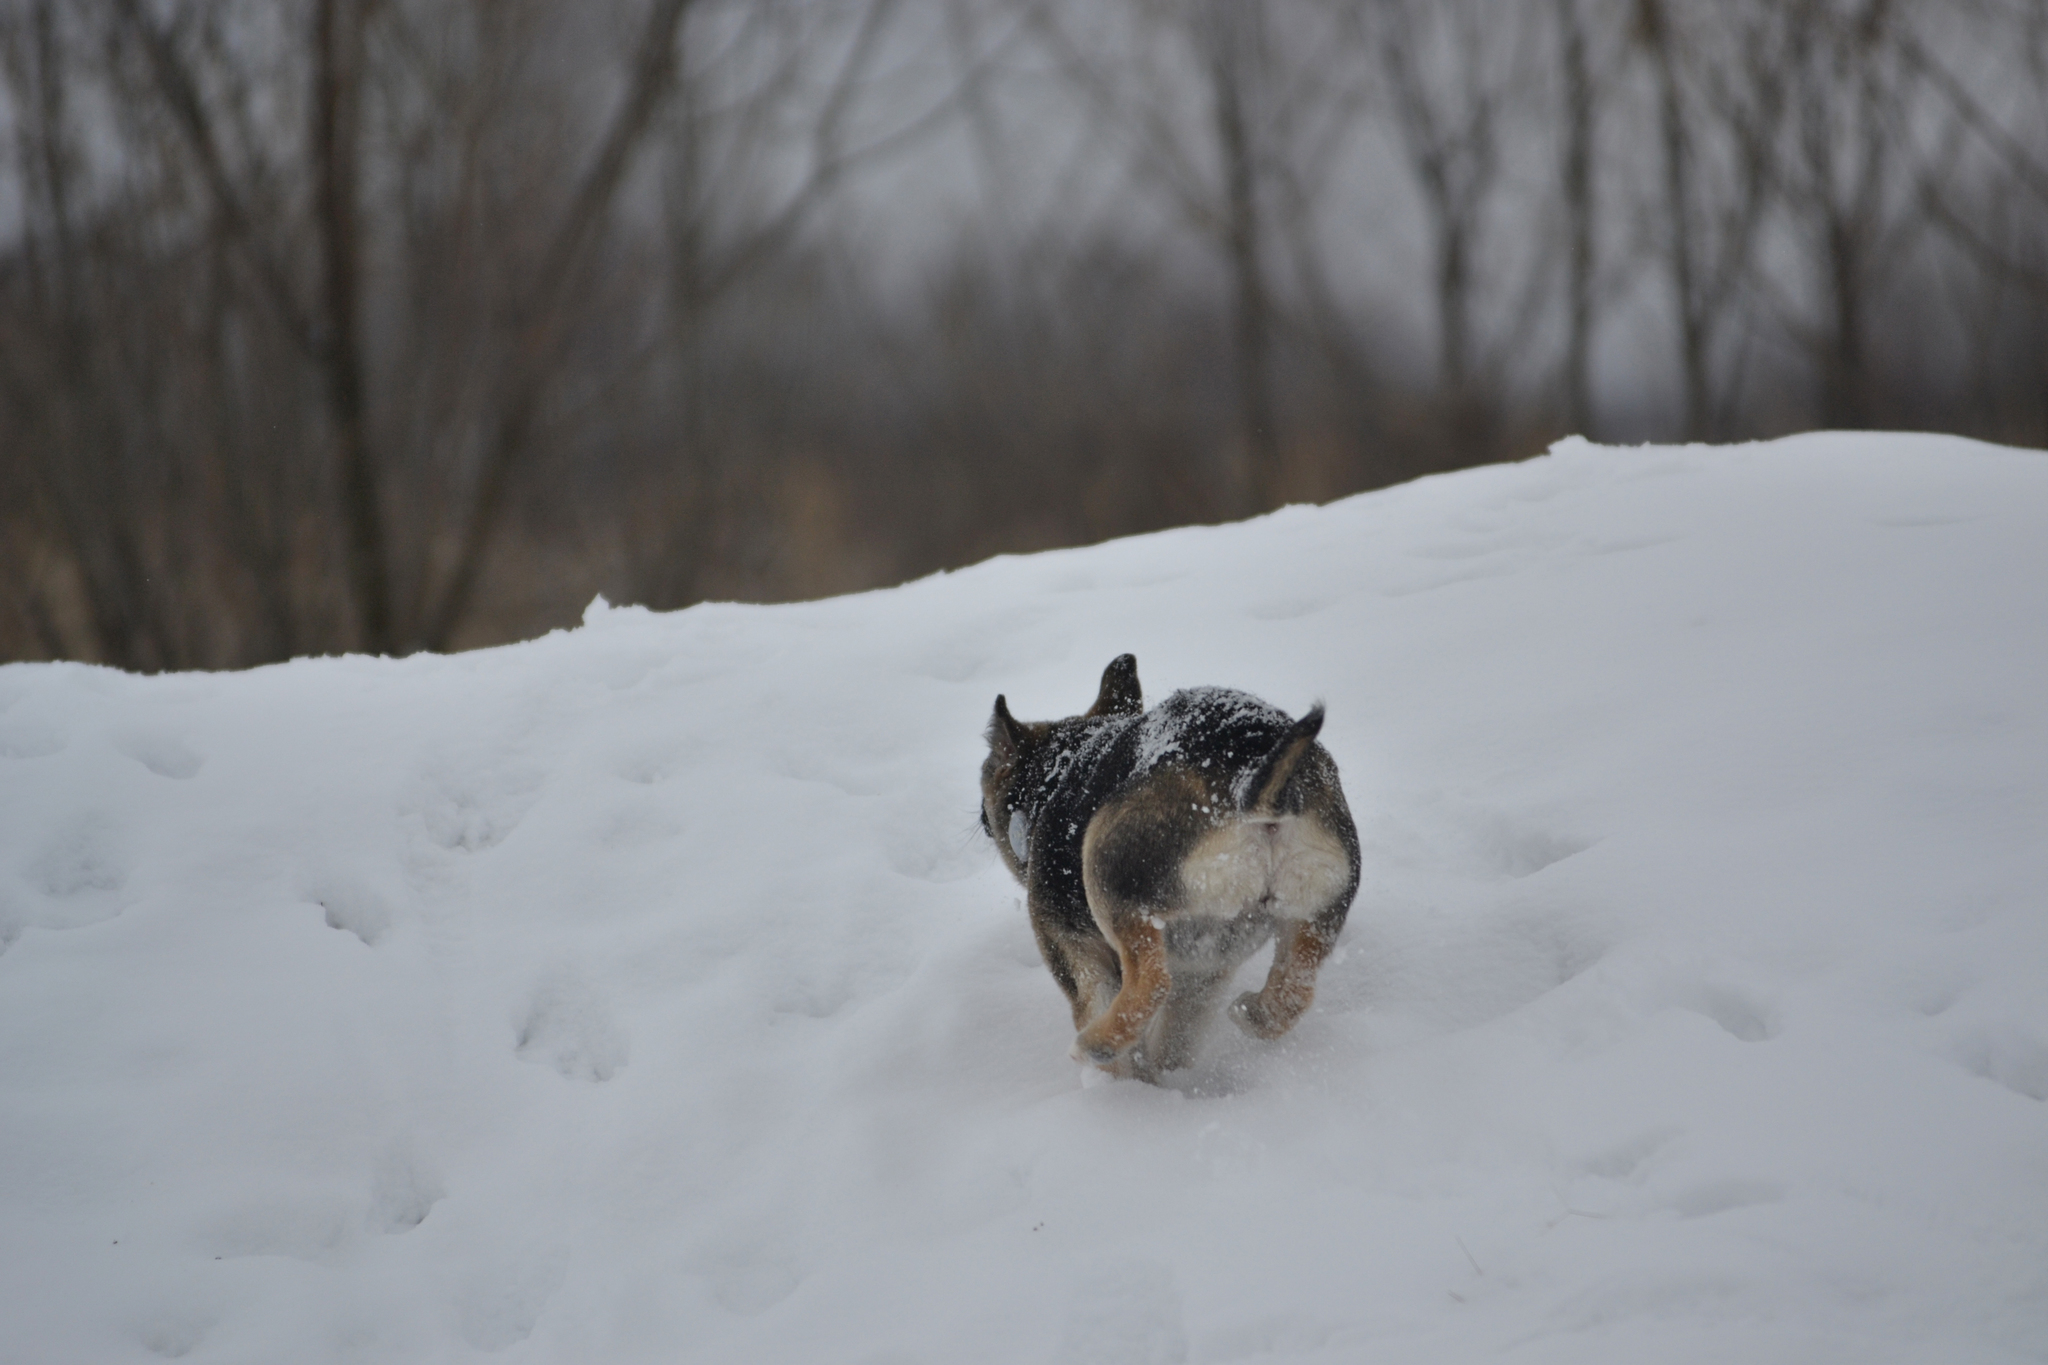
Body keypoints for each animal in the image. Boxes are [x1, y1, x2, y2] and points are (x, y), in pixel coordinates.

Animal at [978, 654, 1359, 1080]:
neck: (1062, 771)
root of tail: (1251, 776)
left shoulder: (1067, 941)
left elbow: (1100, 1004)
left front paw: (1119, 1084)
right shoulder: (1202, 973)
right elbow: (1175, 1043)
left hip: (1112, 875)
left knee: (1152, 982)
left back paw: (1095, 1045)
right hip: (1313, 910)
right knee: (1295, 988)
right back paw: (1252, 1012)